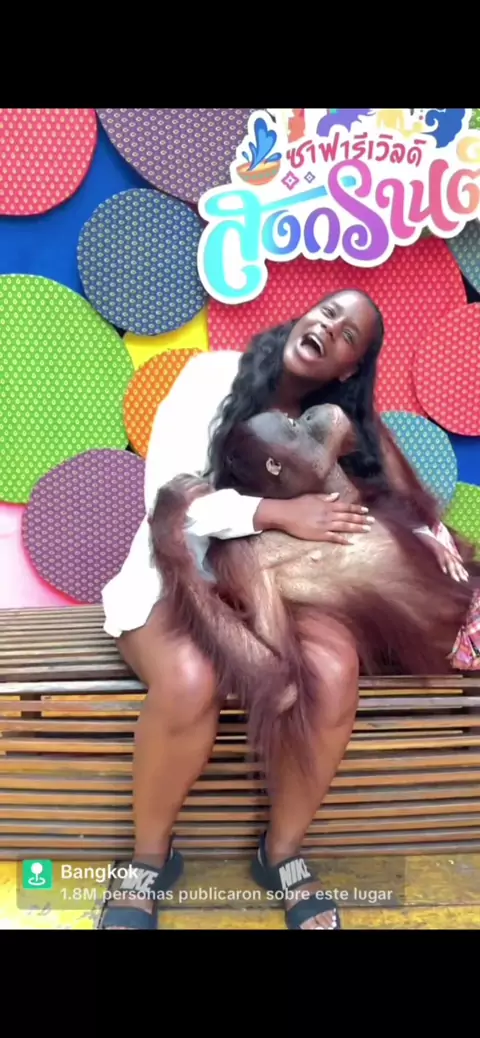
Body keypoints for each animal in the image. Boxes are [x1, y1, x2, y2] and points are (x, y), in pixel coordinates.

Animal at [149, 403, 479, 768]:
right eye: (294, 425)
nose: (309, 414)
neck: (329, 501)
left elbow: (430, 526)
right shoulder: (242, 556)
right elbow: (281, 681)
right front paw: (169, 519)